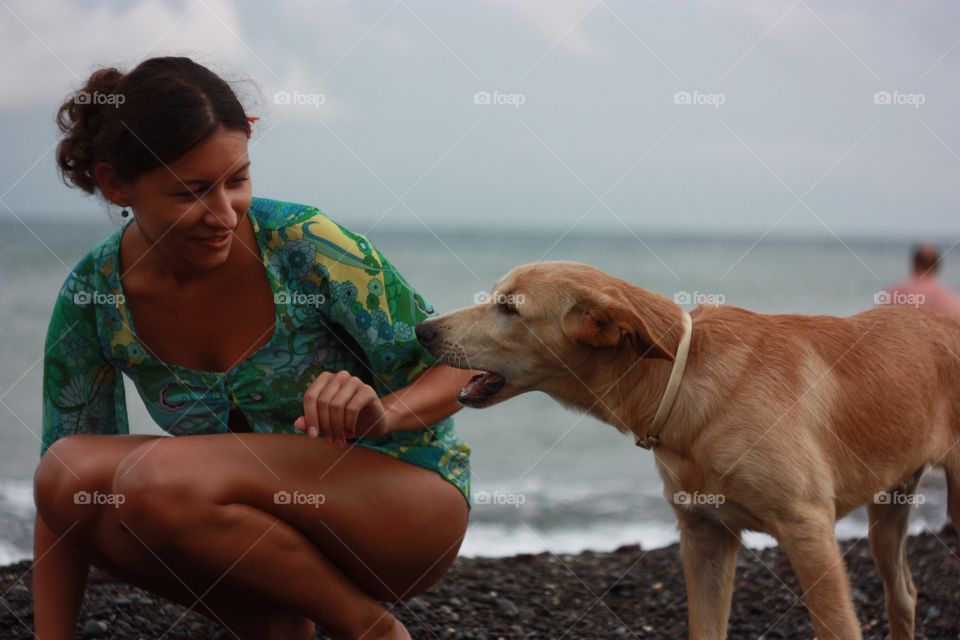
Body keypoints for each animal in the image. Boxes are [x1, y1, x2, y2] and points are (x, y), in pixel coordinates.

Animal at [416, 262, 960, 640]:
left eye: (509, 308)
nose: (423, 330)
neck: (683, 379)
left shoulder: (808, 531)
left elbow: (837, 626)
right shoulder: (705, 537)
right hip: (887, 511)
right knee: (904, 594)